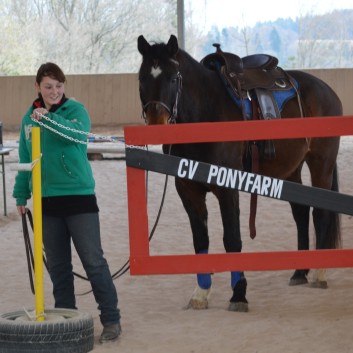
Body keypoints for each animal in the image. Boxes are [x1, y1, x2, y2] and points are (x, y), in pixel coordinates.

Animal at [137, 33, 340, 310]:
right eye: (142, 78)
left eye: (173, 77)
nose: (156, 125)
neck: (207, 112)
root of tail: (326, 89)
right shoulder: (187, 189)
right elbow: (200, 240)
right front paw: (201, 293)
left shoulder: (227, 188)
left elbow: (232, 239)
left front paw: (239, 294)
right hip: (292, 169)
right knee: (301, 212)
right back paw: (299, 272)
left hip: (322, 163)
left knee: (321, 214)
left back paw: (319, 274)